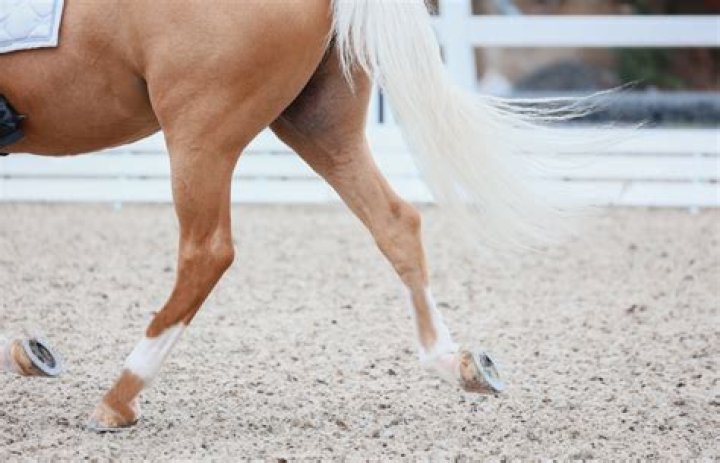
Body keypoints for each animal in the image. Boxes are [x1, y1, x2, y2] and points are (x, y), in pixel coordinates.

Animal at [0, 0, 573, 431]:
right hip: (317, 122)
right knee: (395, 222)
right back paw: (454, 364)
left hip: (199, 132)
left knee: (206, 253)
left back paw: (117, 399)